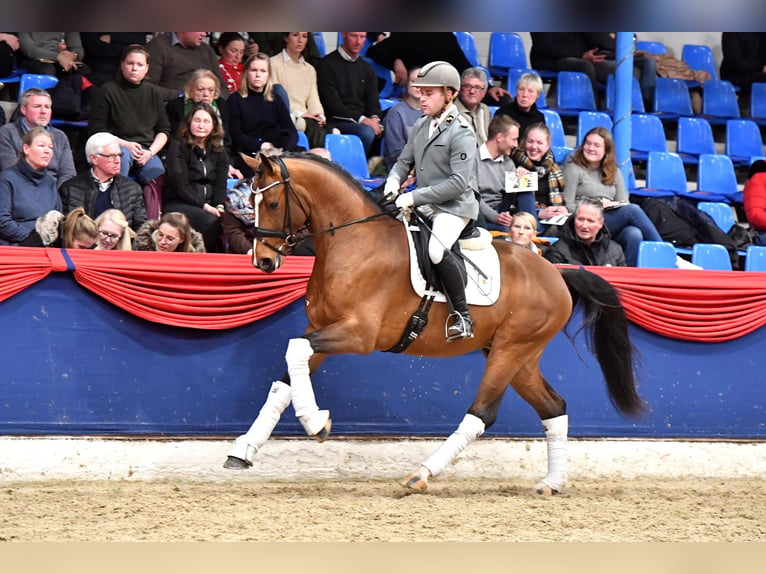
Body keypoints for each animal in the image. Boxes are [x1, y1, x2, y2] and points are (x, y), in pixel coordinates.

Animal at [224, 153, 648, 496]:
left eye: (272, 202)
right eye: (250, 201)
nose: (263, 262)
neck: (353, 241)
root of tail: (556, 273)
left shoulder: (358, 334)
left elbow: (294, 349)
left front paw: (316, 424)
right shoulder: (324, 331)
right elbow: (285, 379)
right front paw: (242, 450)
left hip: (511, 351)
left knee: (482, 413)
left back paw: (422, 474)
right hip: (519, 356)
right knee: (553, 406)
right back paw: (552, 483)